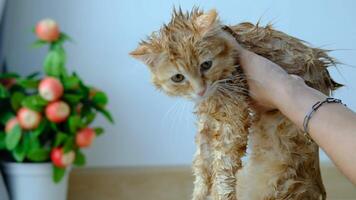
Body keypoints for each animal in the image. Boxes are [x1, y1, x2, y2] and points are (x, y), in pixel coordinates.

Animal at [130, 8, 340, 200]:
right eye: (178, 78)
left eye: (206, 65)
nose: (200, 90)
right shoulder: (207, 119)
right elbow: (201, 159)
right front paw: (199, 193)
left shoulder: (234, 116)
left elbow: (223, 168)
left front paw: (219, 194)